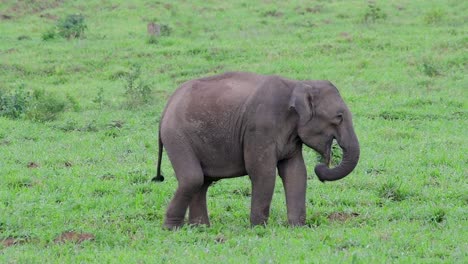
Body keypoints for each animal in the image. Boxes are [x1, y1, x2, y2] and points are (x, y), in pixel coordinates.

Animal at [152, 71, 360, 229]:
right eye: (339, 117)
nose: (321, 168)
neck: (298, 84)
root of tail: (167, 106)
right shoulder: (260, 128)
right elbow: (263, 172)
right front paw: (259, 228)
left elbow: (296, 172)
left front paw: (297, 227)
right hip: (177, 135)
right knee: (193, 178)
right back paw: (172, 228)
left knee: (202, 182)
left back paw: (201, 228)